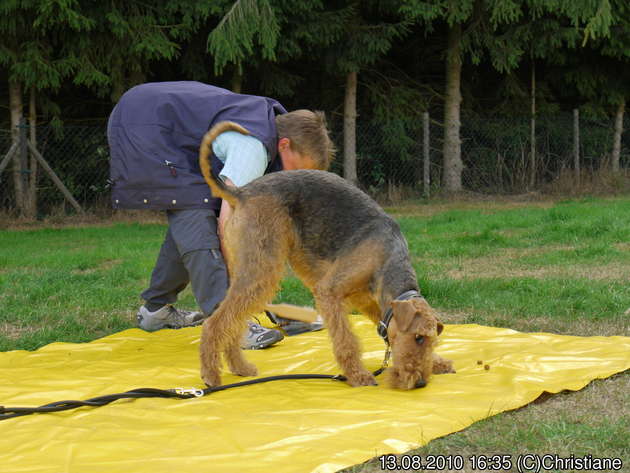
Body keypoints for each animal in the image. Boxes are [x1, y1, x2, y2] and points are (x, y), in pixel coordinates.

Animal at [198, 121, 454, 388]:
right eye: (418, 337)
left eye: (431, 341)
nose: (420, 382)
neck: (387, 260)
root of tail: (242, 193)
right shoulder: (329, 292)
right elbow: (346, 340)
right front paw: (358, 375)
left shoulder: (371, 305)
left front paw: (439, 363)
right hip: (260, 271)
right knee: (214, 323)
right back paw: (211, 375)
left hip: (245, 270)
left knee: (232, 324)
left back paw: (240, 367)